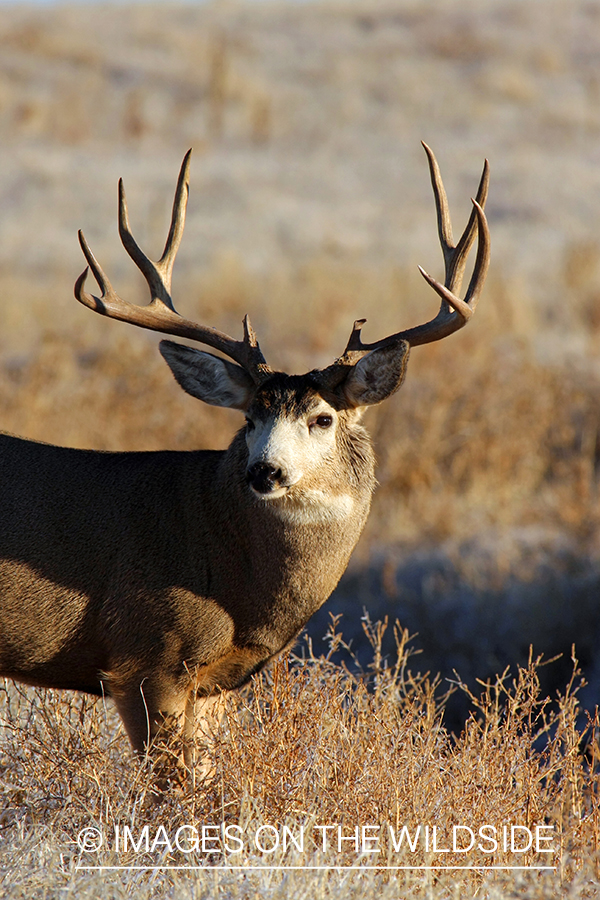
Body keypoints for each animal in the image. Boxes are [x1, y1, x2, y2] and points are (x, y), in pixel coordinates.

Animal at [0, 144, 489, 782]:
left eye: (322, 418)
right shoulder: (145, 657)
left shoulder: (213, 684)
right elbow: (171, 793)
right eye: (250, 418)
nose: (265, 472)